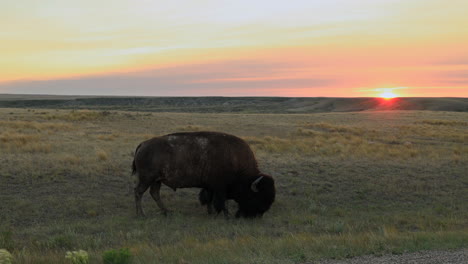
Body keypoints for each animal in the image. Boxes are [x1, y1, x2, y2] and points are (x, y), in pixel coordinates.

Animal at [132, 131, 276, 218]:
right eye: (255, 197)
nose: (259, 213)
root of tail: (143, 144)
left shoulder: (210, 186)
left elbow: (209, 199)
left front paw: (210, 213)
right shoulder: (220, 188)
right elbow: (221, 202)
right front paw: (226, 215)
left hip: (157, 180)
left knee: (154, 193)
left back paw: (166, 212)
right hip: (147, 178)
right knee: (139, 192)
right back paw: (141, 214)